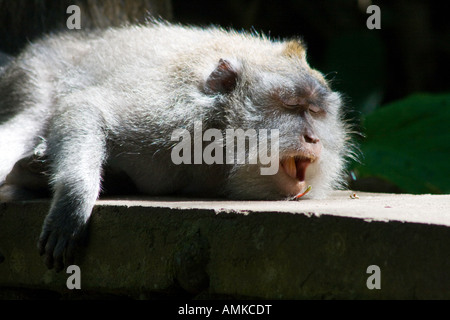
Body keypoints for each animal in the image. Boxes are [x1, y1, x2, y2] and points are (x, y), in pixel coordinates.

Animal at [0, 21, 352, 272]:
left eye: (316, 112)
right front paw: (73, 201)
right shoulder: (169, 116)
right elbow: (84, 106)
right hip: (34, 75)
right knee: (31, 117)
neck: (216, 138)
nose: (314, 138)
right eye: (292, 106)